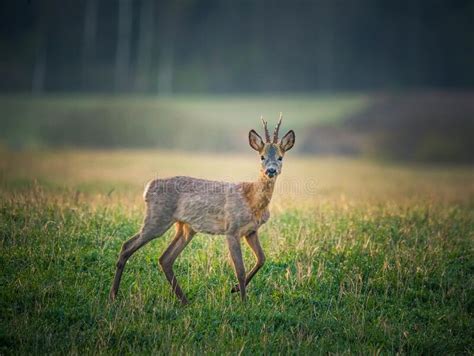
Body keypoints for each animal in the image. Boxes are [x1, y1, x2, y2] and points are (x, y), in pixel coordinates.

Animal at [109, 114, 294, 304]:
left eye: (280, 157)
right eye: (262, 157)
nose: (271, 170)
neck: (251, 199)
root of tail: (148, 188)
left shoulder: (251, 231)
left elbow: (262, 259)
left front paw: (234, 289)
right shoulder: (232, 229)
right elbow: (240, 270)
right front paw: (243, 302)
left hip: (185, 228)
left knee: (165, 259)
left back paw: (184, 300)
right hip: (157, 219)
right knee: (127, 246)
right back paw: (113, 295)